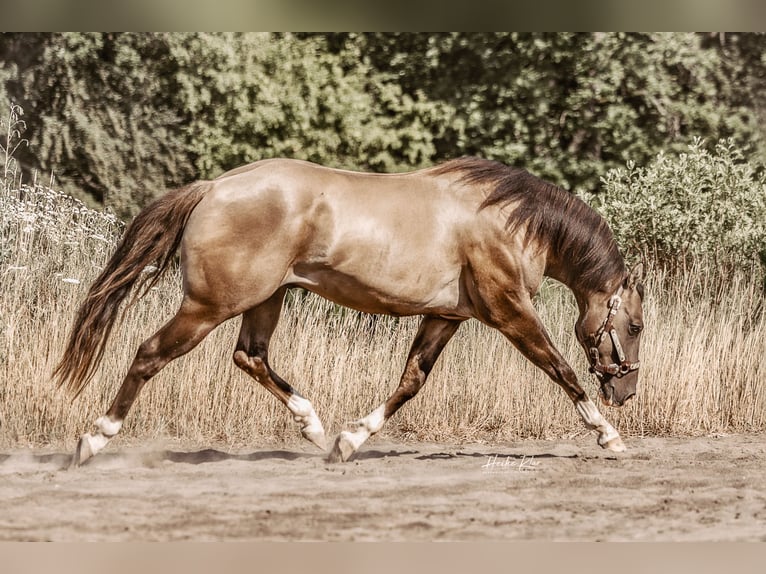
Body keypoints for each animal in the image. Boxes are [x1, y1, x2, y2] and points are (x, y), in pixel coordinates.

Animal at [54, 157, 644, 466]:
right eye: (635, 326)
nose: (626, 392)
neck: (509, 222)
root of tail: (213, 188)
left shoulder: (446, 317)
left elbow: (411, 381)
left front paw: (349, 439)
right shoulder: (509, 312)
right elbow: (562, 370)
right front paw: (609, 437)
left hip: (265, 299)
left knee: (250, 356)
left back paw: (313, 427)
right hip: (210, 305)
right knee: (150, 353)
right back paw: (93, 439)